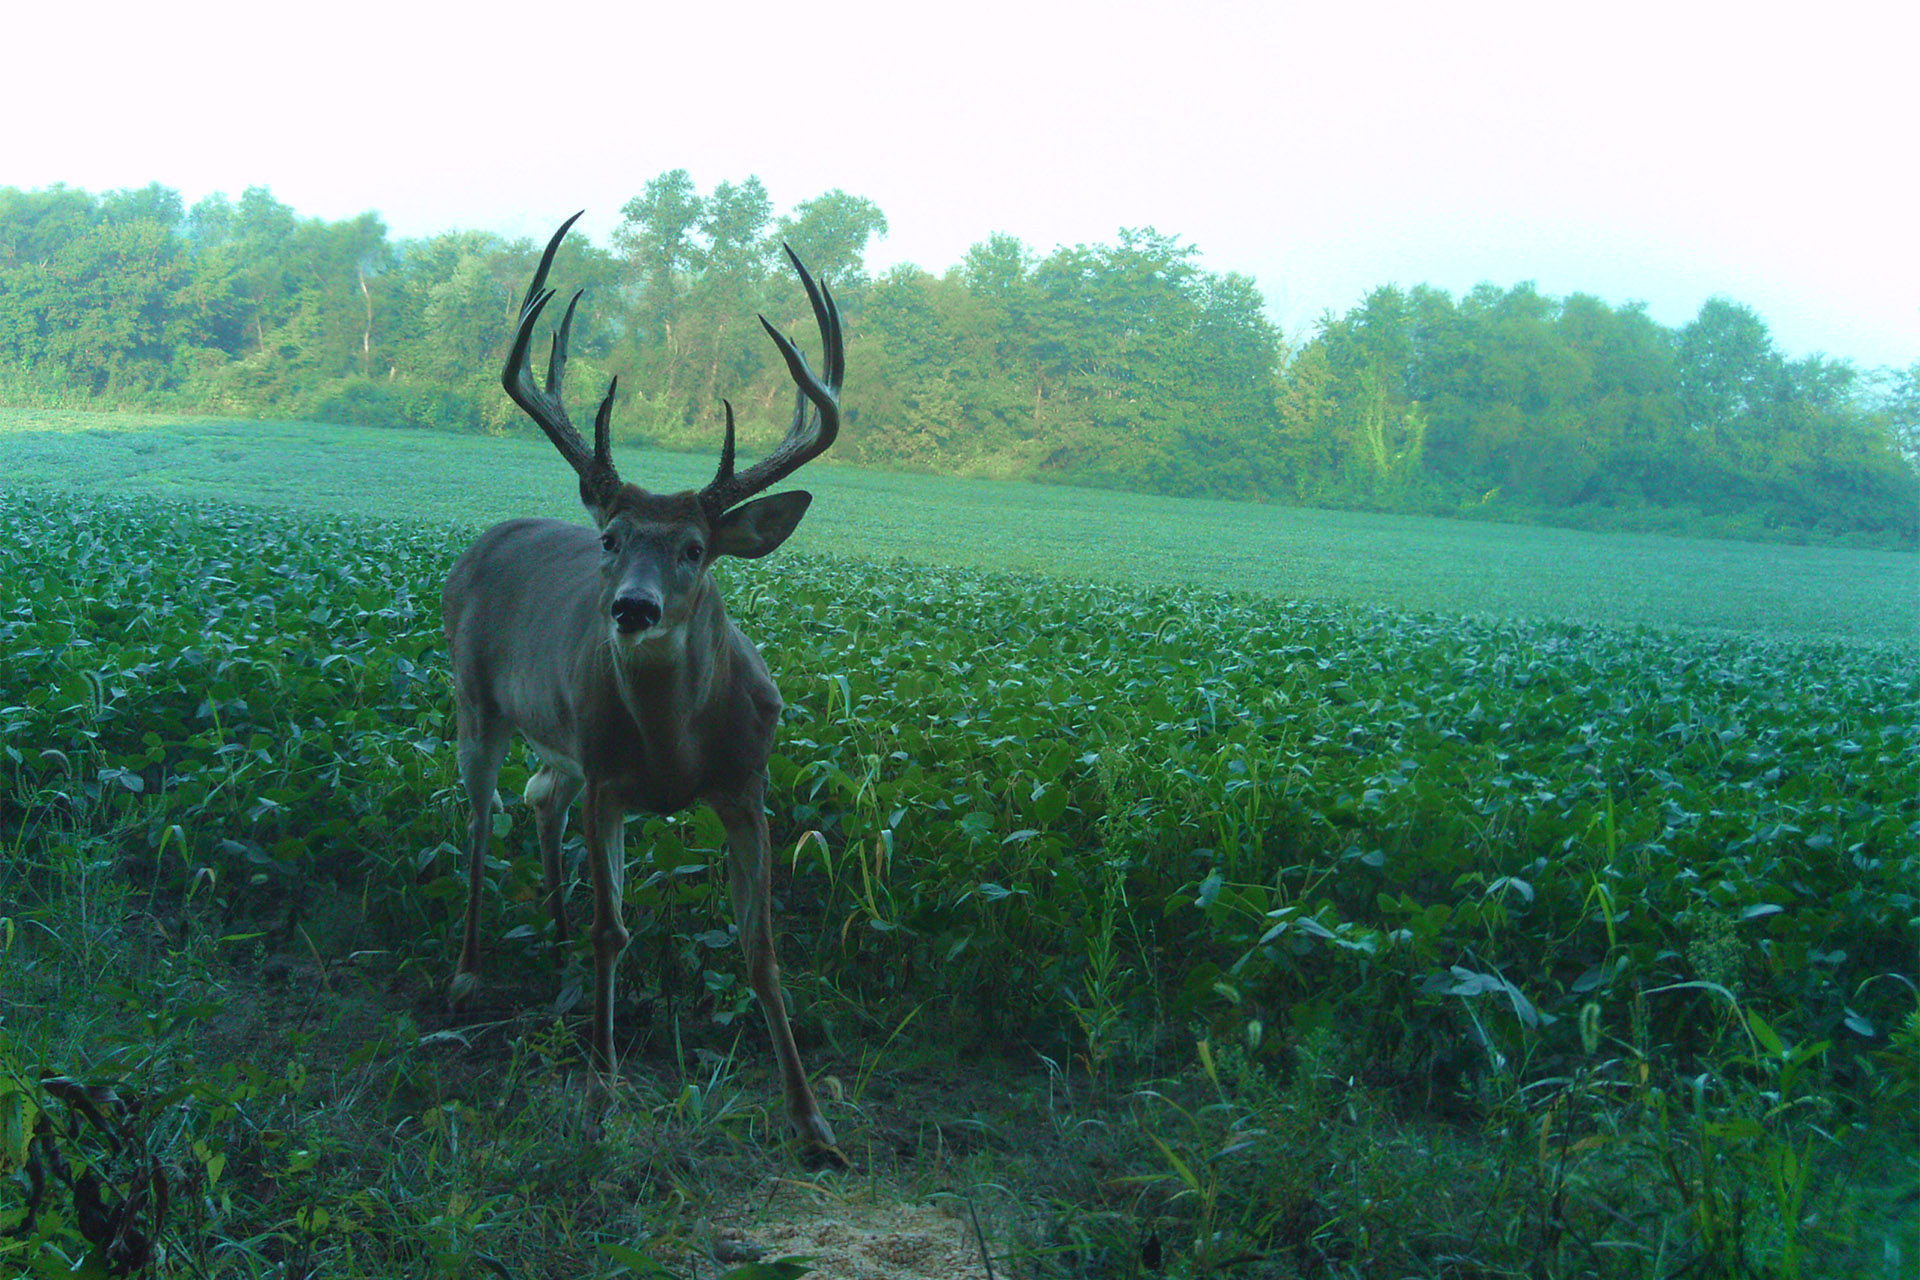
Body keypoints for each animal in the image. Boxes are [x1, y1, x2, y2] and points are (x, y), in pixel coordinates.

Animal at [449, 213, 848, 1159]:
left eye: (695, 549)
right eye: (612, 540)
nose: (631, 608)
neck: (675, 752)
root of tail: (485, 540)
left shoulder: (746, 784)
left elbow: (760, 947)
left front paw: (812, 1121)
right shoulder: (610, 781)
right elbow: (614, 929)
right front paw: (600, 1095)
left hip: (555, 741)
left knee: (537, 796)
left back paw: (550, 933)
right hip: (474, 699)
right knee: (481, 818)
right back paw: (470, 971)